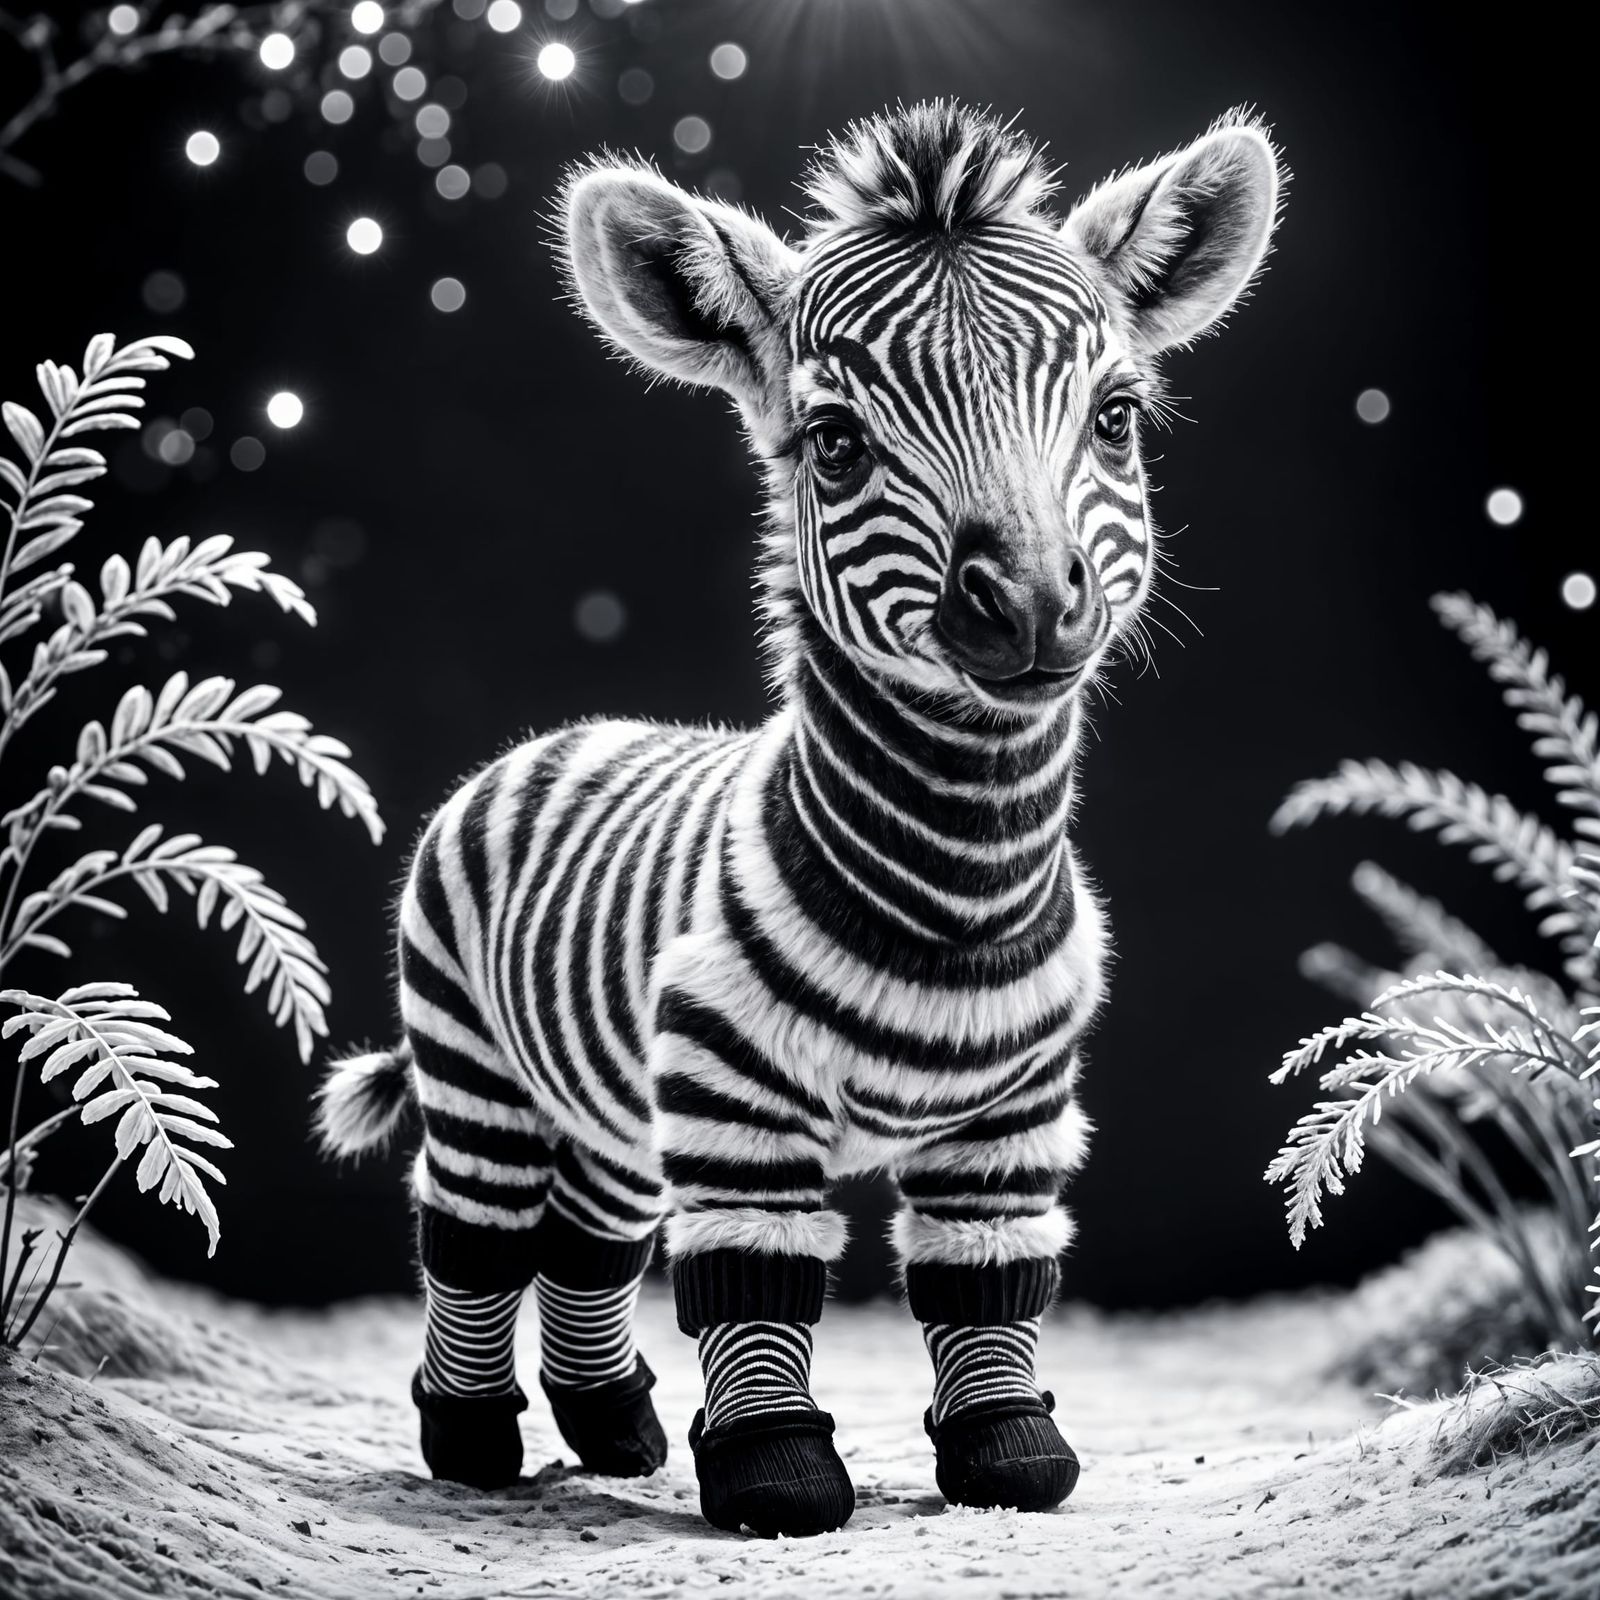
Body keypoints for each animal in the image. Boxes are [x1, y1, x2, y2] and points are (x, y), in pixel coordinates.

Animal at [318, 100, 1283, 1537]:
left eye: (1115, 419)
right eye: (835, 445)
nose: (1031, 608)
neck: (959, 879)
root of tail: (556, 735)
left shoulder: (1013, 1117)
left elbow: (984, 1272)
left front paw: (1007, 1452)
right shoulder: (736, 1095)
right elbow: (753, 1269)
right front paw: (773, 1474)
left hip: (611, 1095)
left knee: (589, 1236)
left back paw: (613, 1430)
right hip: (474, 1062)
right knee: (476, 1231)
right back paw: (473, 1441)